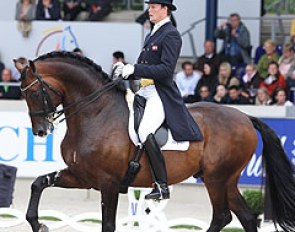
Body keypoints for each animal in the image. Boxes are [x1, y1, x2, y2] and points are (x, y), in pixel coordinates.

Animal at [16, 52, 295, 232]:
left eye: (34, 92)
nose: (40, 131)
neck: (96, 112)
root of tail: (246, 118)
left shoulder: (108, 183)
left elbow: (108, 224)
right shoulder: (82, 176)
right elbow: (39, 183)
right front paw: (38, 224)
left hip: (217, 178)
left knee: (222, 216)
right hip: (226, 179)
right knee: (246, 218)